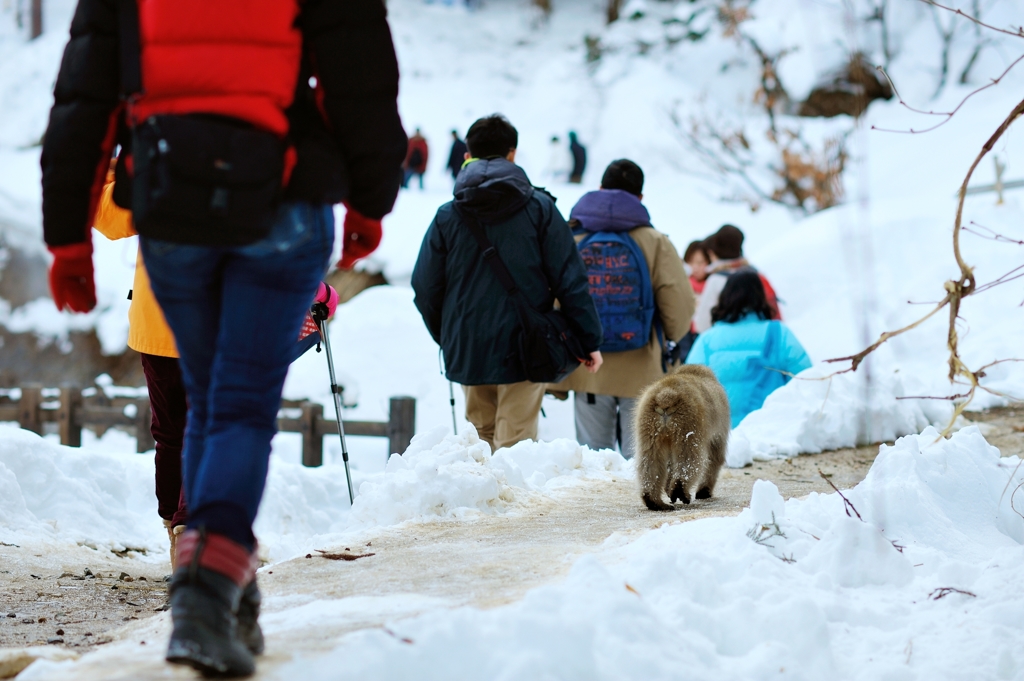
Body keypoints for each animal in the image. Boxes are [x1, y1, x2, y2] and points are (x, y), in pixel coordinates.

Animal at [630, 364, 729, 507]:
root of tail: (666, 395)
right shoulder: (719, 428)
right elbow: (715, 457)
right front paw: (704, 491)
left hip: (649, 423)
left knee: (650, 457)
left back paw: (654, 501)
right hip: (688, 422)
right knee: (689, 456)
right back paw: (680, 490)